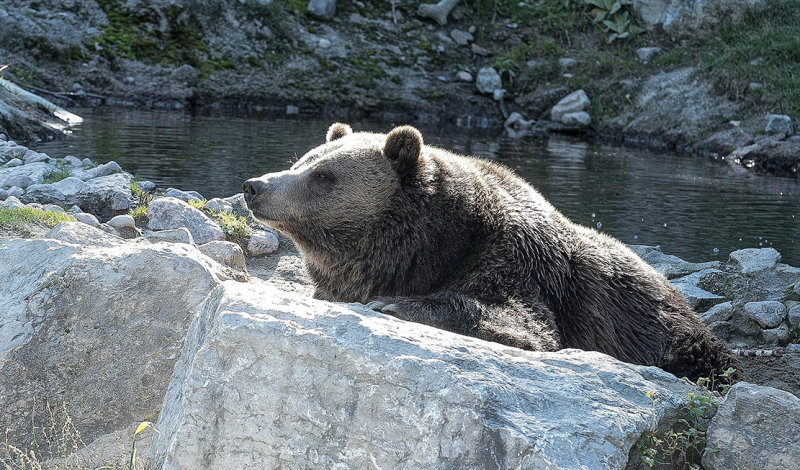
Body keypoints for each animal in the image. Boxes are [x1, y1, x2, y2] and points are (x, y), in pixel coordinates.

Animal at [244, 122, 736, 382]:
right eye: (302, 161)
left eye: (323, 176)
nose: (255, 186)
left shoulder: (518, 260)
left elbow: (522, 324)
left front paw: (395, 304)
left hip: (666, 332)